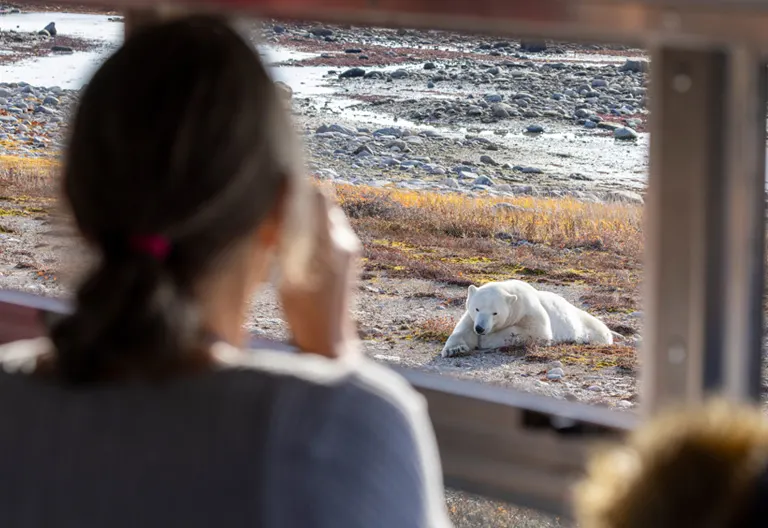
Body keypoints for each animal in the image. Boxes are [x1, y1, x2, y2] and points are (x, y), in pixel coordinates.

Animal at [441, 279, 614, 358]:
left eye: (495, 313)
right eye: (477, 308)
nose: (480, 328)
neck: (514, 295)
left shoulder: (529, 310)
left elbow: (536, 333)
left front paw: (486, 340)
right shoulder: (471, 318)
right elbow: (462, 328)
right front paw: (454, 349)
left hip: (591, 327)